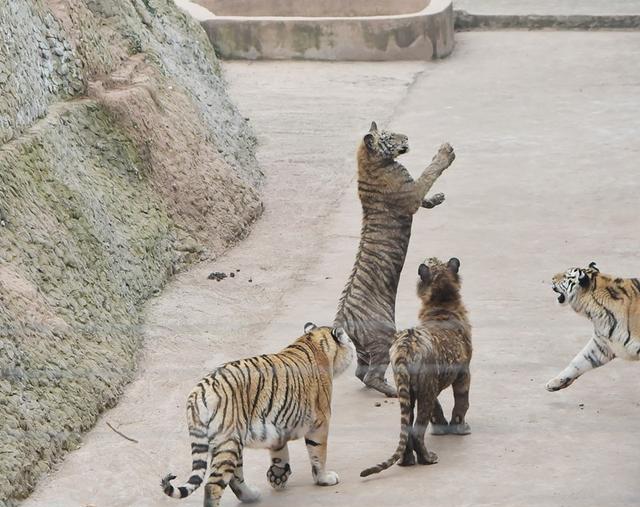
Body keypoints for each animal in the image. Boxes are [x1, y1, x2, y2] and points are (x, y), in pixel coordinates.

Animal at [161, 324, 356, 507]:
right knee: (213, 485)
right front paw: (324, 478)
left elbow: (279, 451)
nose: (354, 349)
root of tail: (198, 392)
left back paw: (252, 496)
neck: (314, 342)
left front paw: (278, 476)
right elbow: (318, 454)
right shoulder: (320, 423)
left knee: (235, 478)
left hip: (231, 443)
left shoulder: (278, 424)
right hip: (227, 442)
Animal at [336, 121, 456, 398]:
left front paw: (436, 199)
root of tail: (342, 319)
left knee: (361, 372)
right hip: (382, 335)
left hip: (364, 348)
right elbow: (428, 173)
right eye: (390, 137)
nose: (407, 138)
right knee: (370, 375)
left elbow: (425, 191)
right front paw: (445, 153)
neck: (371, 162)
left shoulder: (412, 191)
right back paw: (391, 390)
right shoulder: (410, 193)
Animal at [362, 260, 472, 478]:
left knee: (407, 428)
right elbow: (461, 403)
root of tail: (406, 346)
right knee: (417, 429)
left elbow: (438, 410)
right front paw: (460, 428)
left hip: (407, 390)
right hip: (424, 390)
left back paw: (407, 461)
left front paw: (441, 428)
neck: (441, 303)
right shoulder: (464, 373)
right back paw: (428, 458)